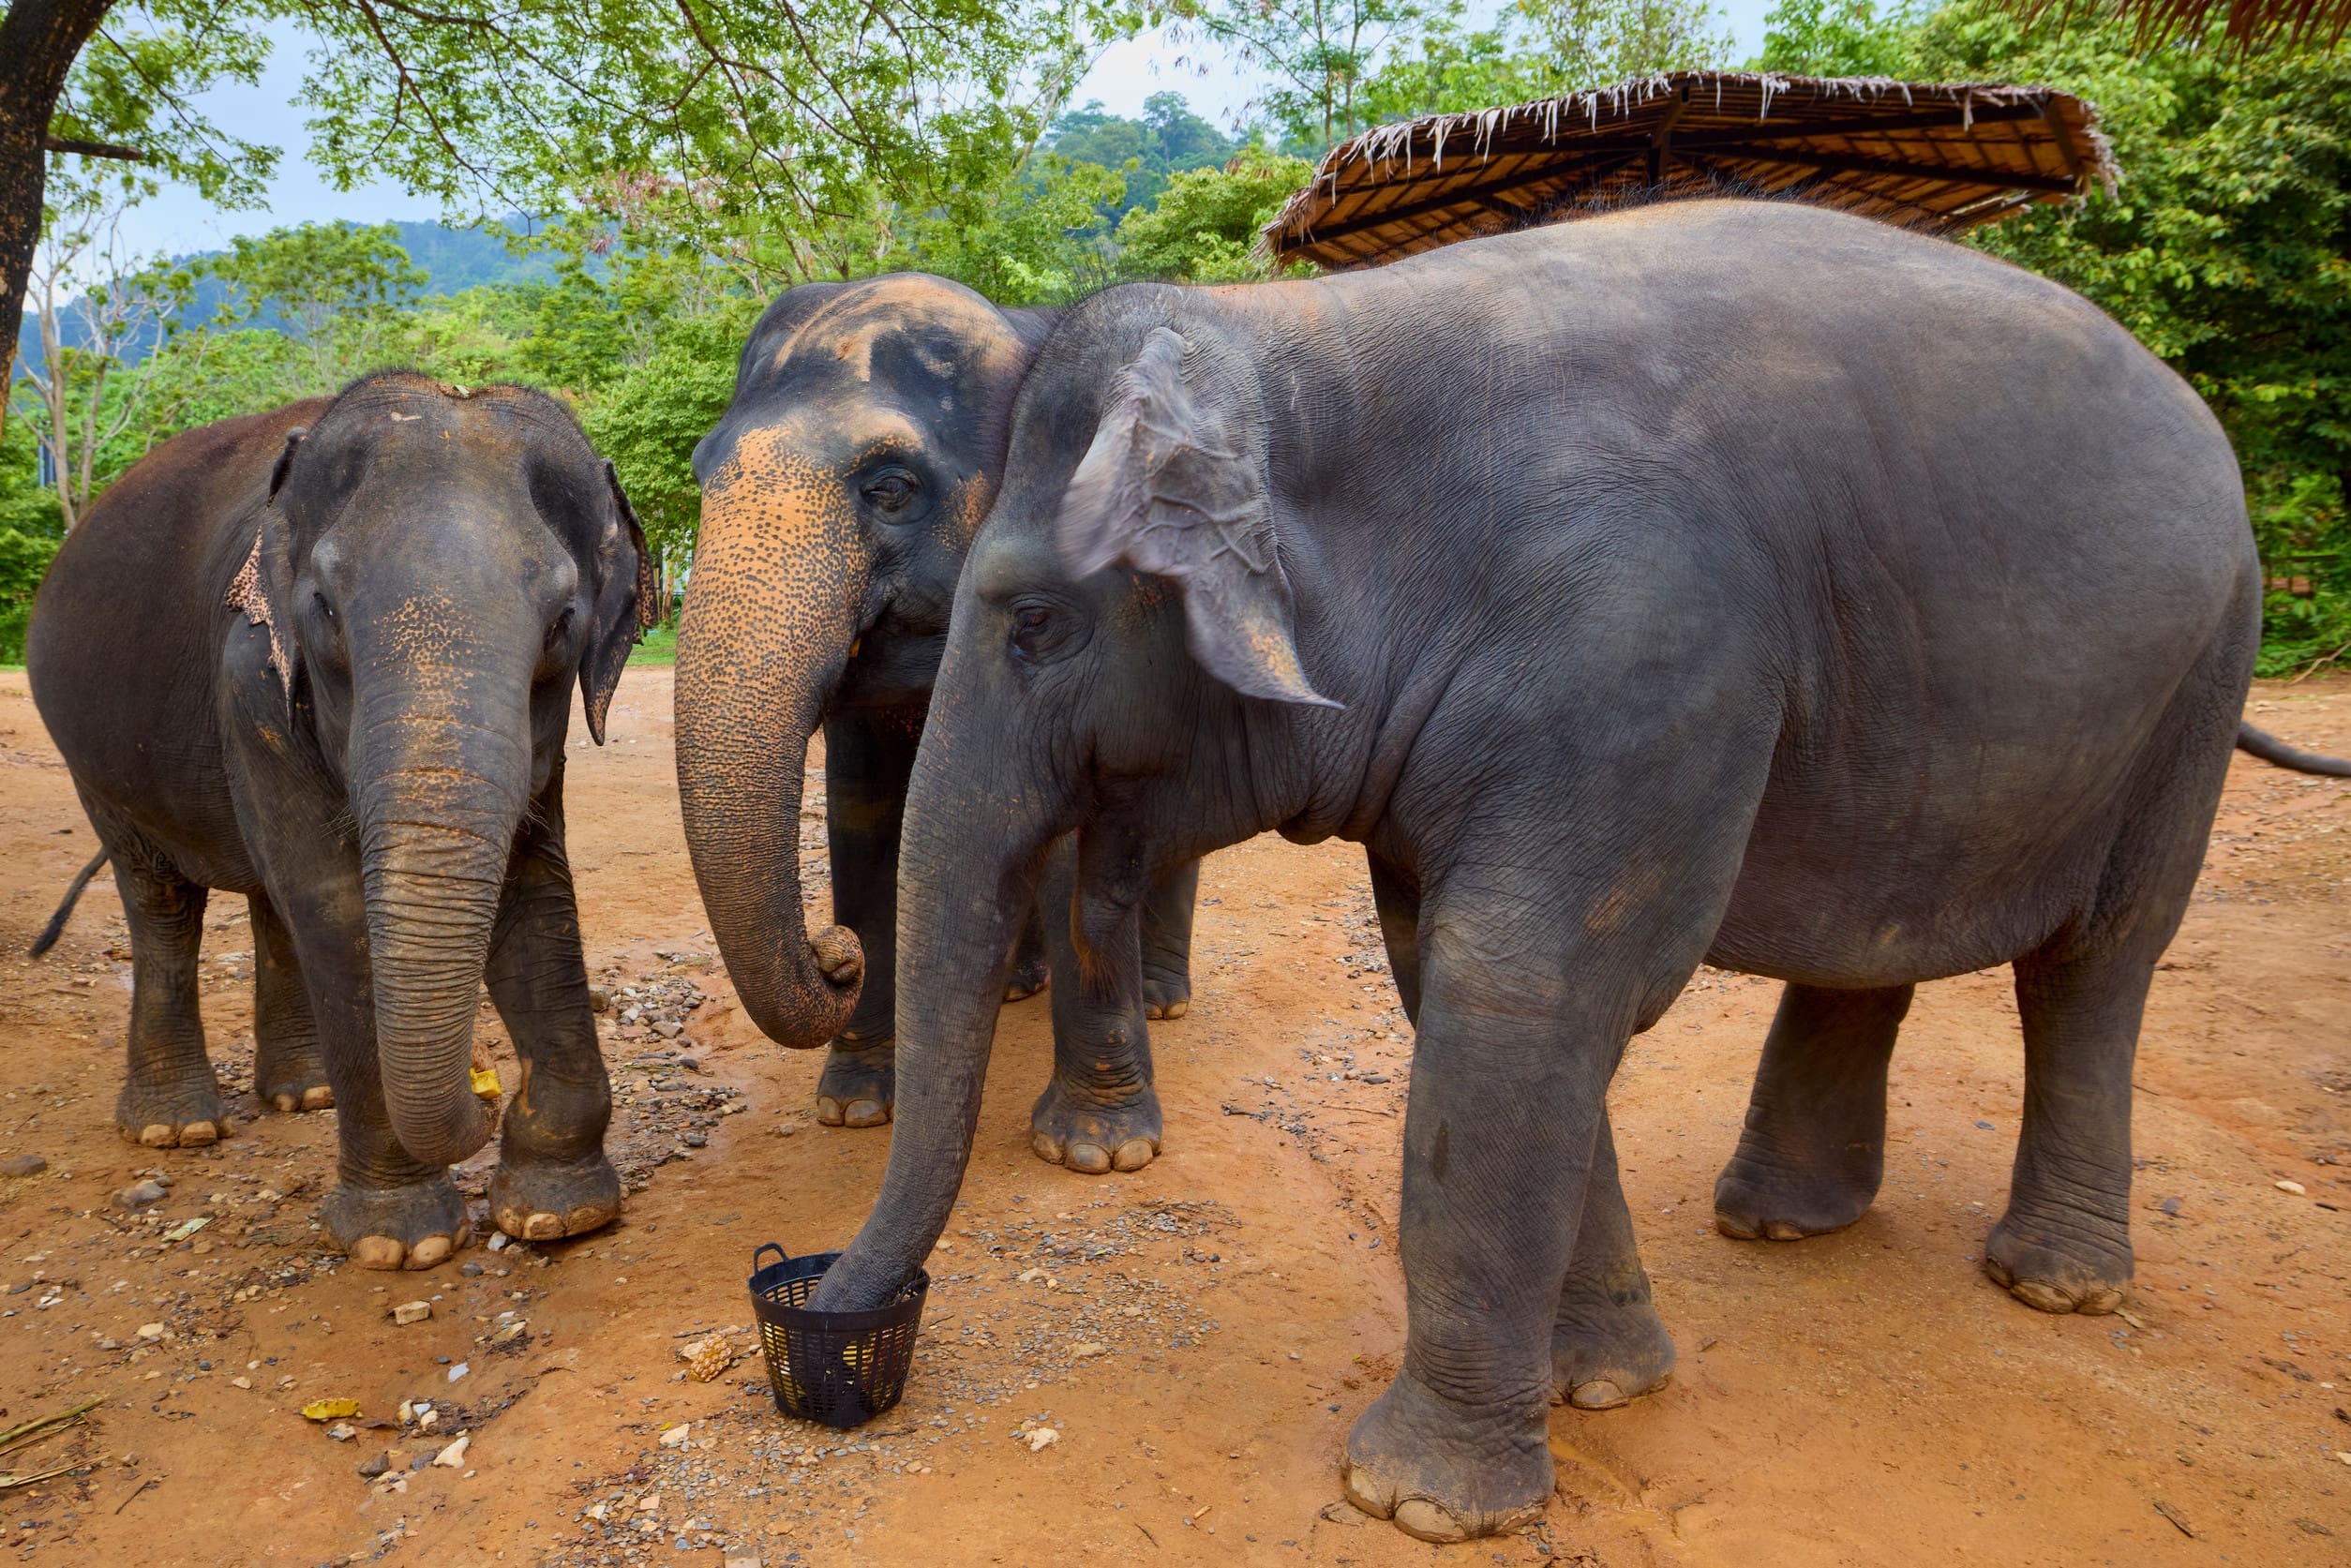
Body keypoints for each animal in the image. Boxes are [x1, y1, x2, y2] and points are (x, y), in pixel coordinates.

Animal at [27, 370, 653, 1268]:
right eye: (323, 608)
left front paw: (558, 1214)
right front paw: (402, 1244)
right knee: (161, 901)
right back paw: (177, 1130)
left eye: (564, 621)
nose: (493, 1087)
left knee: (268, 901)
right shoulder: (250, 677)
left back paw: (304, 1094)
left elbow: (532, 888)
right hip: (92, 756)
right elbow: (338, 906)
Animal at [673, 273, 1198, 1173]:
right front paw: (853, 1106)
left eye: (891, 487)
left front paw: (1097, 1149)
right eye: (703, 476)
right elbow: (862, 811)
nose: (833, 950)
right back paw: (1018, 983)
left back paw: (1163, 999)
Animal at [807, 200, 2351, 1540]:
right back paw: (1779, 1222)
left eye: (1037, 625)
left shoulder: (1637, 642)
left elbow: (1522, 990)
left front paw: (1419, 1503)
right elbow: (1464, 986)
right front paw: (1602, 1383)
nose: (822, 1320)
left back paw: (2053, 1286)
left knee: (2099, 963)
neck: (1306, 343)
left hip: (2200, 678)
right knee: (1877, 941)